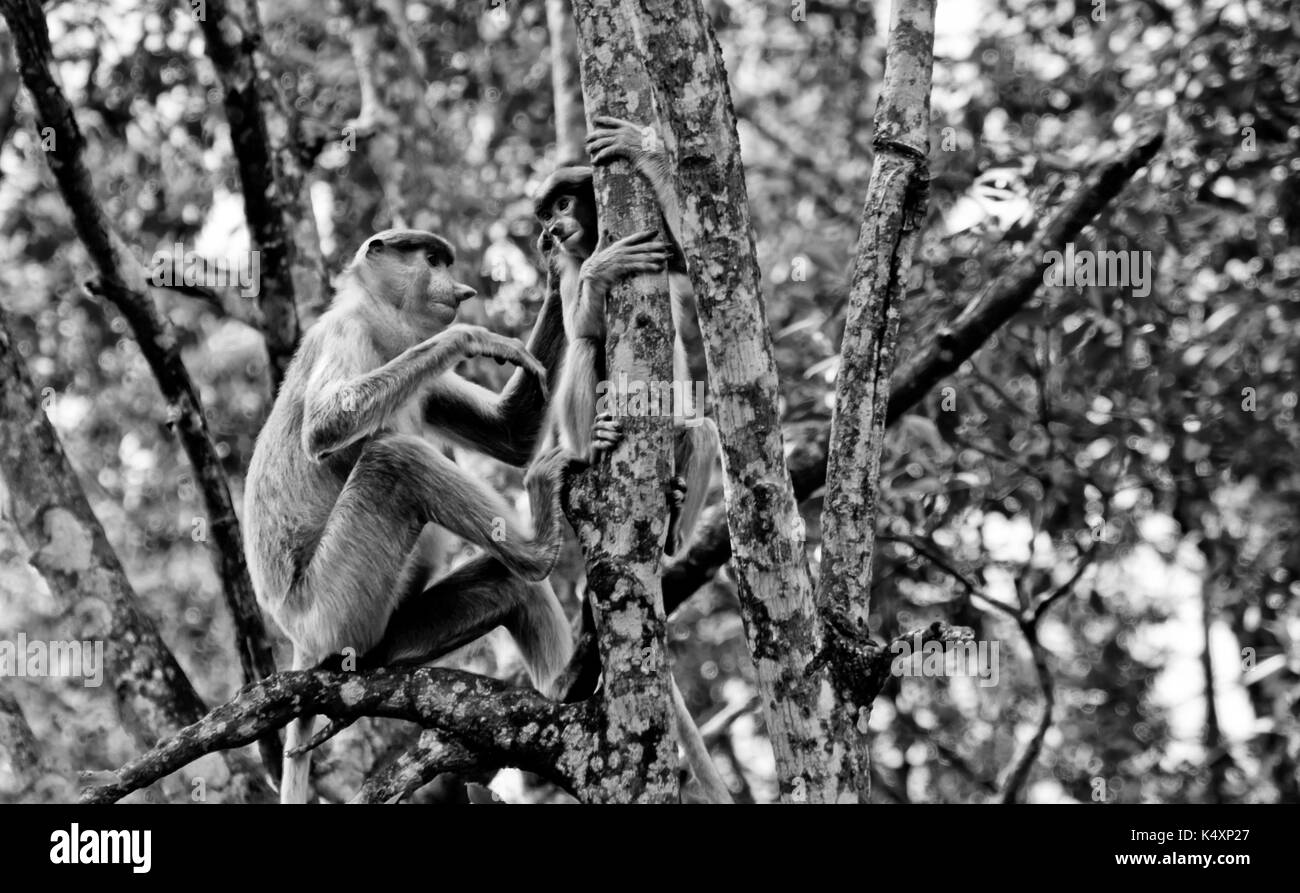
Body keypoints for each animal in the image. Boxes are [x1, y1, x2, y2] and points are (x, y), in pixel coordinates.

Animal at [243, 229, 575, 804]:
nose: (461, 290)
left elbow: (508, 433)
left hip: (383, 630)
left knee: (509, 587)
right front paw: (469, 338)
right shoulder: (346, 332)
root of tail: (300, 640)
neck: (377, 316)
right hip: (333, 607)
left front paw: (562, 264)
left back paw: (565, 683)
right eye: (432, 260)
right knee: (395, 460)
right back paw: (540, 549)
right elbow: (328, 426)